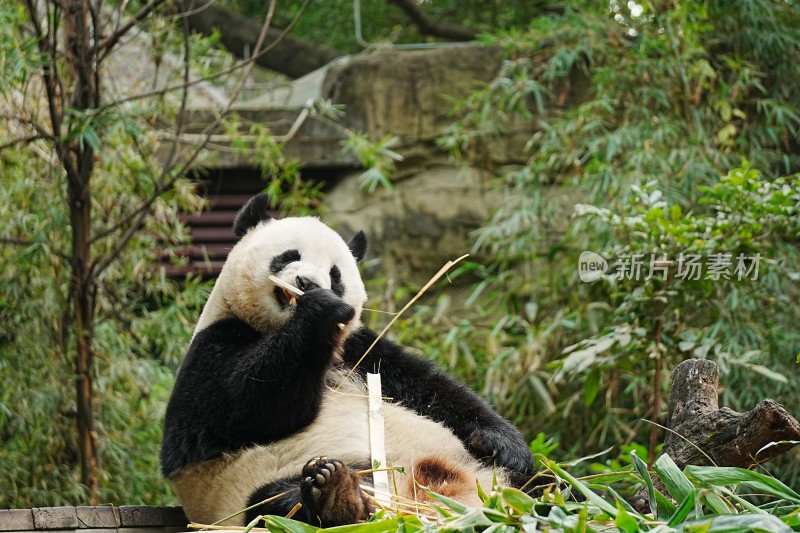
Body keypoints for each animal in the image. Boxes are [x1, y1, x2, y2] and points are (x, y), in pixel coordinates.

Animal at [159, 193, 536, 524]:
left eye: (335, 274)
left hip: (486, 472)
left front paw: (502, 442)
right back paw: (336, 495)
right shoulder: (213, 346)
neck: (280, 329)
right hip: (262, 483)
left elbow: (433, 390)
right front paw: (320, 311)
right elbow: (246, 407)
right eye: (288, 255)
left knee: (540, 480)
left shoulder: (362, 352)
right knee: (276, 502)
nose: (308, 283)